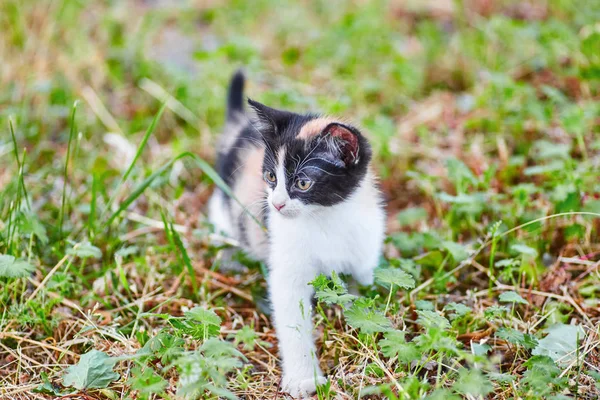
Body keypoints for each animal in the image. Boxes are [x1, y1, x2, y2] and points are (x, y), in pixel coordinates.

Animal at [207, 71, 384, 396]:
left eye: (302, 183)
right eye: (270, 177)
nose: (276, 204)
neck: (324, 219)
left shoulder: (363, 255)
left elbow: (360, 297)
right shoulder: (287, 271)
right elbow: (293, 322)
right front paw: (303, 378)